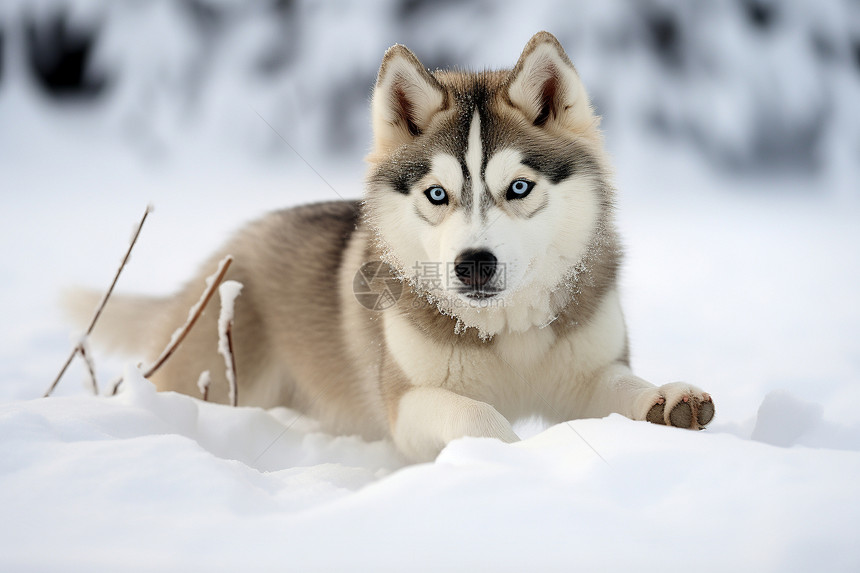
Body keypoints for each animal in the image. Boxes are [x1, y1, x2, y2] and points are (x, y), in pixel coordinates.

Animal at [69, 30, 712, 460]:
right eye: (437, 194)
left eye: (519, 187)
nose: (473, 265)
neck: (503, 331)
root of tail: (232, 247)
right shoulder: (409, 404)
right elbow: (475, 413)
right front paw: (507, 457)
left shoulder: (589, 373)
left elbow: (622, 387)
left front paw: (666, 402)